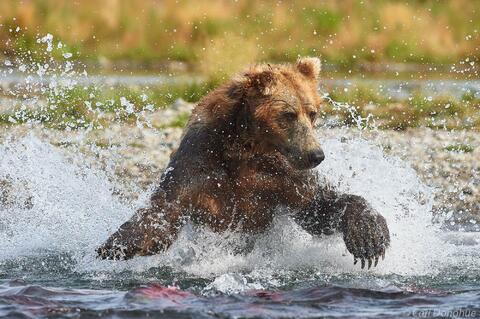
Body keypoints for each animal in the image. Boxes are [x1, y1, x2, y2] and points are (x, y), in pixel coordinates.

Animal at [97, 58, 390, 270]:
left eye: (313, 113)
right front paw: (112, 246)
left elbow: (318, 207)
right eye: (289, 114)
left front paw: (370, 238)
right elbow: (164, 213)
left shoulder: (282, 175)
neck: (243, 150)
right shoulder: (199, 164)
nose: (315, 155)